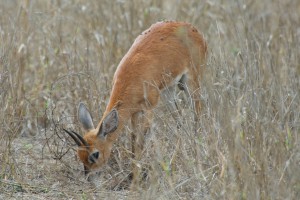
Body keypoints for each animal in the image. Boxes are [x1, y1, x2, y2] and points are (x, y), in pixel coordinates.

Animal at [63, 21, 206, 183]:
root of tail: (192, 28)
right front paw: (132, 172)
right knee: (180, 122)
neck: (131, 78)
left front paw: (136, 174)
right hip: (168, 92)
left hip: (191, 83)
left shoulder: (149, 108)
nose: (90, 178)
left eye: (95, 154)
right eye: (79, 155)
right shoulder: (134, 112)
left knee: (198, 112)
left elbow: (141, 139)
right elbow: (133, 137)